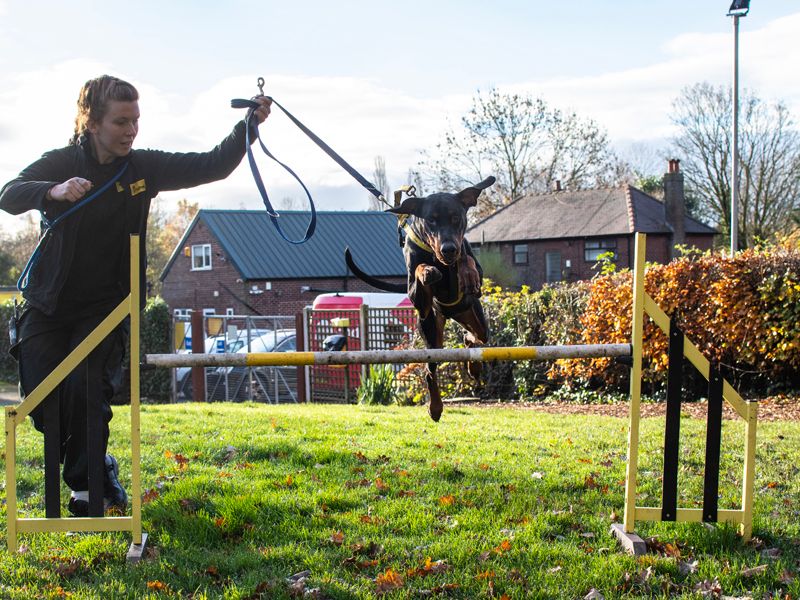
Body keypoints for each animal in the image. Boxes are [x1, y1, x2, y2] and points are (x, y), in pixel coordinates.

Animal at [344, 177, 494, 422]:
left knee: (475, 337)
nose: (448, 248)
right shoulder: (418, 300)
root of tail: (448, 314)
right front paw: (427, 271)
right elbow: (419, 271)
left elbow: (468, 262)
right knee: (430, 370)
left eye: (456, 217)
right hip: (430, 329)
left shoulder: (474, 274)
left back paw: (474, 367)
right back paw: (436, 407)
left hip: (473, 316)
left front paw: (466, 272)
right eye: (431, 220)